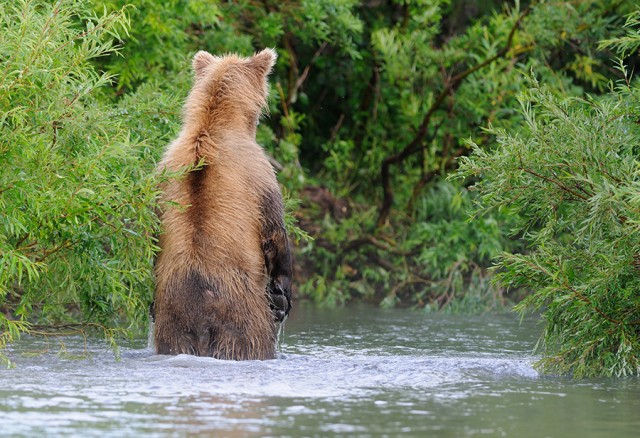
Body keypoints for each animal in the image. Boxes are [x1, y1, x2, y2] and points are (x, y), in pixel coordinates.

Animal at [154, 49, 294, 362]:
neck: (213, 124)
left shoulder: (162, 172)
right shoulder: (259, 173)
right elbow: (274, 232)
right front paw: (283, 292)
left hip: (175, 327)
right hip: (244, 322)